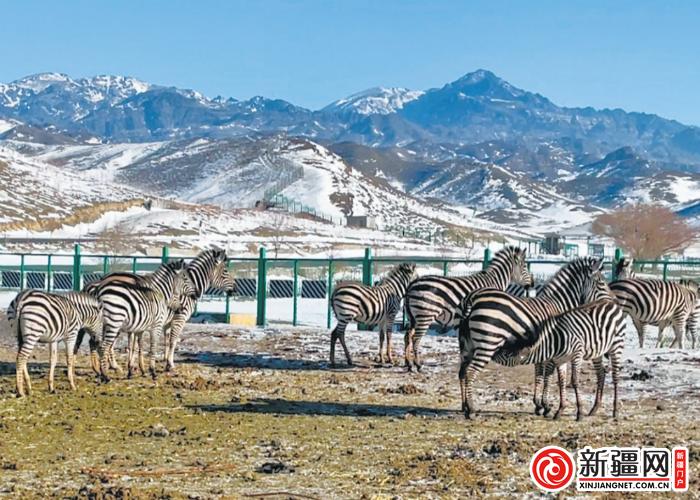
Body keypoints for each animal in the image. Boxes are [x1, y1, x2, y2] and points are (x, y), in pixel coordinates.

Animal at [402, 246, 532, 372]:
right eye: (524, 266)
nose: (532, 284)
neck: (495, 281)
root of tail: (412, 284)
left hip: (413, 317)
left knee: (407, 336)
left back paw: (409, 364)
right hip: (425, 314)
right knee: (416, 338)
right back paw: (418, 365)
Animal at [460, 258, 608, 418]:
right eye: (601, 283)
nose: (611, 303)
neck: (559, 304)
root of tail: (473, 297)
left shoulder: (544, 348)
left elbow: (538, 373)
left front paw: (538, 405)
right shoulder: (554, 347)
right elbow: (548, 375)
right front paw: (546, 406)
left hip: (468, 346)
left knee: (462, 372)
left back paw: (465, 407)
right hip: (488, 343)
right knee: (470, 372)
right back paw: (472, 410)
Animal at [494, 270, 628, 418]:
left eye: (507, 353)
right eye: (602, 283)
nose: (493, 354)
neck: (556, 338)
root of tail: (611, 305)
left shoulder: (576, 354)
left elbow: (572, 380)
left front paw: (577, 412)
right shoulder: (559, 359)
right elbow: (560, 381)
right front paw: (558, 409)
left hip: (616, 346)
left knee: (615, 376)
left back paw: (615, 410)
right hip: (597, 350)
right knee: (601, 374)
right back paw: (594, 409)